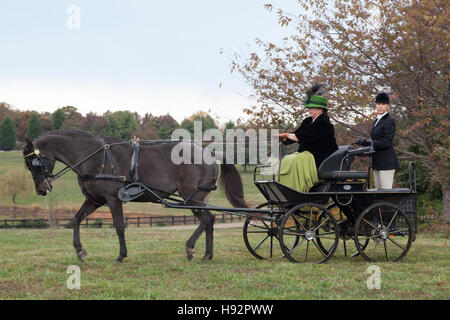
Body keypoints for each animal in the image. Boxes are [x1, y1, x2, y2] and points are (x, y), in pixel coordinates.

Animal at [22, 130, 248, 262]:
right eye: (28, 165)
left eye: (35, 162)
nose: (41, 189)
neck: (94, 158)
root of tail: (208, 154)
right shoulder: (94, 200)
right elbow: (76, 219)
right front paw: (80, 251)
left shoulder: (113, 199)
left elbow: (119, 226)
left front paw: (121, 255)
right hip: (195, 198)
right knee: (209, 221)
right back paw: (207, 254)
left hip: (191, 197)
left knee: (207, 219)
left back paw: (191, 248)